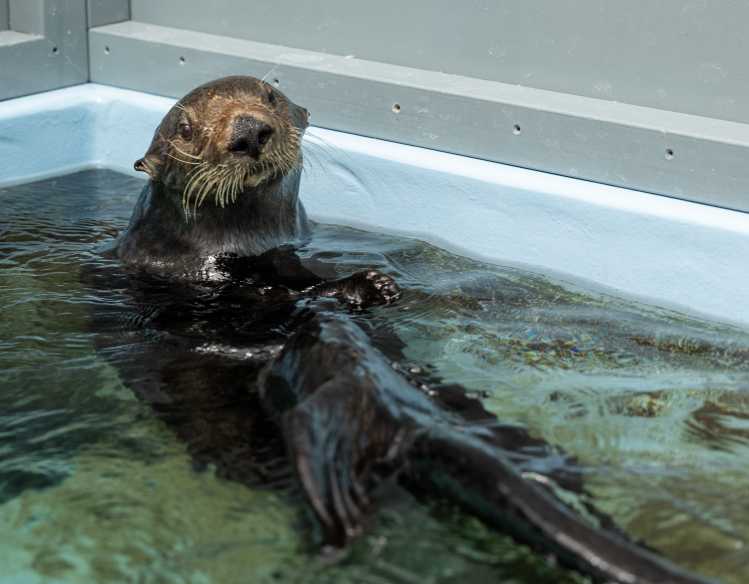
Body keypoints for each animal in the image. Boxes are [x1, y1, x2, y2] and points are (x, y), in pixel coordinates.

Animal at [103, 76, 714, 584]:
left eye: (269, 97)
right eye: (185, 129)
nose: (249, 131)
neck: (239, 247)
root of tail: (397, 412)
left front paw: (378, 287)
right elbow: (270, 301)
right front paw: (366, 284)